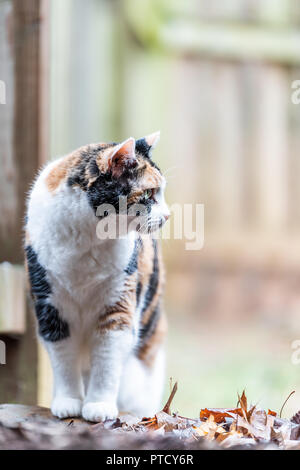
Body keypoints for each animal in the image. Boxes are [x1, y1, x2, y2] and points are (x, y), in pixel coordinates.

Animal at [24, 132, 170, 422]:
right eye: (150, 193)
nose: (168, 215)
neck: (87, 238)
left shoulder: (118, 305)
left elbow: (107, 361)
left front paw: (99, 405)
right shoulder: (50, 309)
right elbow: (64, 360)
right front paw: (68, 401)